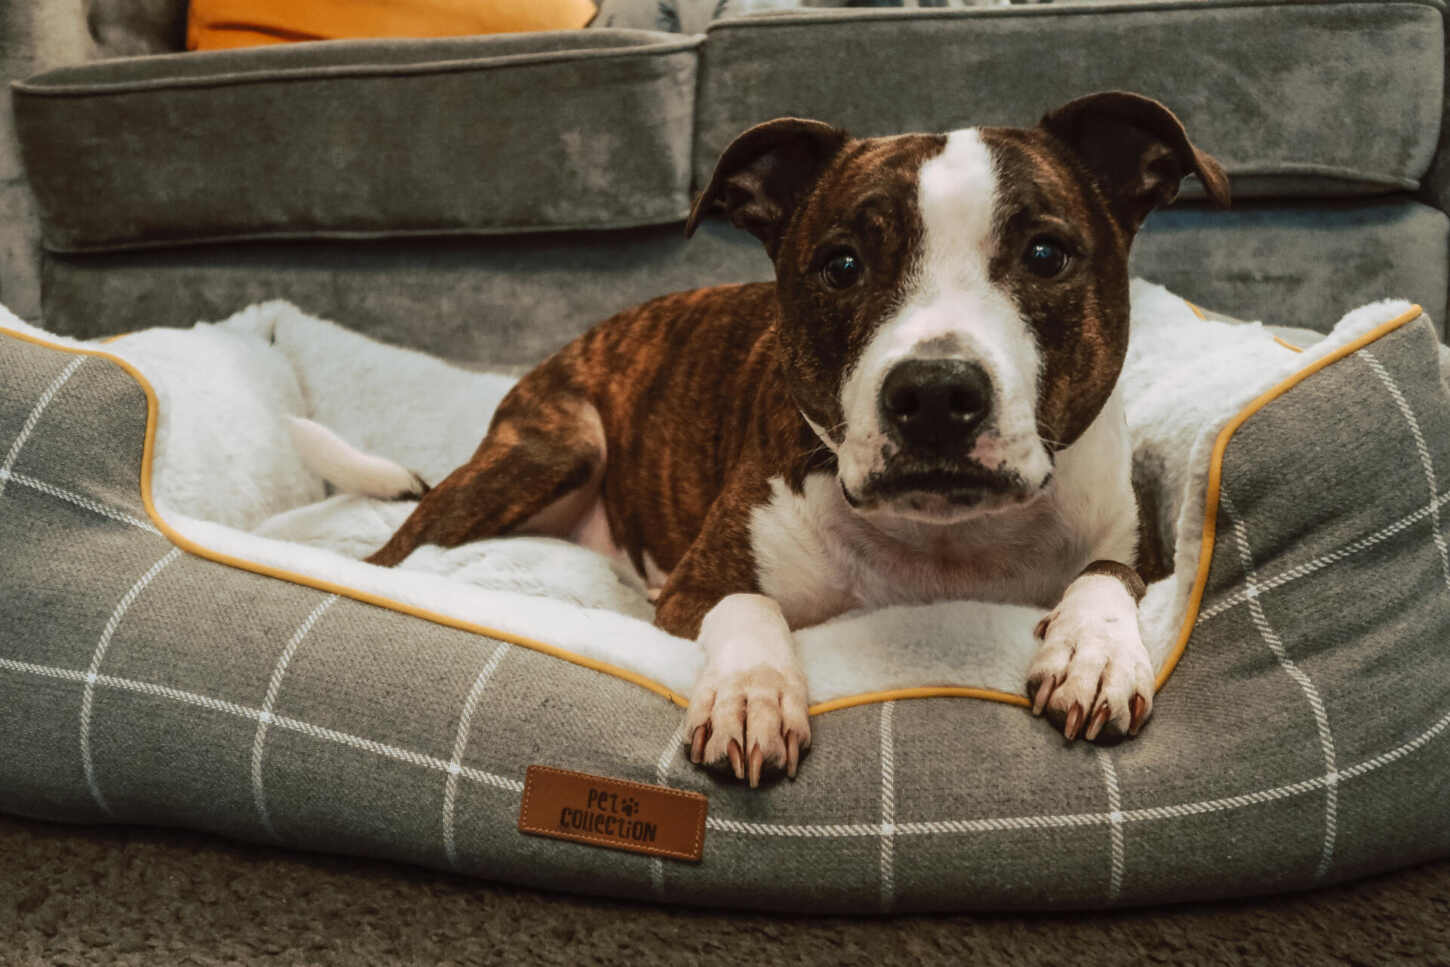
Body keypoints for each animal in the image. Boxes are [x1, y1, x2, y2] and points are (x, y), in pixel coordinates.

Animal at [348, 90, 1223, 788]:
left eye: (1046, 254)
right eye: (841, 265)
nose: (936, 393)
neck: (943, 545)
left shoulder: (1136, 547)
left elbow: (1110, 576)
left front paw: (1093, 652)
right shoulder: (694, 587)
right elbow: (748, 603)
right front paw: (752, 694)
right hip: (555, 451)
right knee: (392, 552)